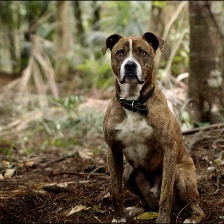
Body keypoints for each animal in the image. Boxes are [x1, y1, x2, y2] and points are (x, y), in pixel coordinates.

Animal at [102, 32, 204, 223]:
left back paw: (193, 218)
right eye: (120, 52)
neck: (133, 103)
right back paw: (136, 209)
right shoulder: (113, 150)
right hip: (128, 173)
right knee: (145, 201)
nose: (130, 65)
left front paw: (163, 220)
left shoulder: (169, 149)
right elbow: (115, 190)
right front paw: (119, 216)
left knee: (195, 206)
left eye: (143, 53)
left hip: (181, 174)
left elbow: (165, 192)